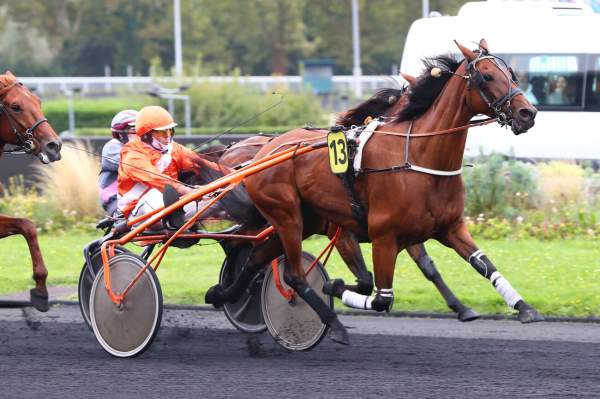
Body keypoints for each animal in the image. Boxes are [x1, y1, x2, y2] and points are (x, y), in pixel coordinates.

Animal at [240, 40, 544, 346]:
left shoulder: (450, 228)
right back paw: (332, 323)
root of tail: (266, 150)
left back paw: (230, 294)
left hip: (298, 222)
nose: (527, 113)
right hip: (287, 217)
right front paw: (334, 285)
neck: (419, 156)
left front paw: (523, 307)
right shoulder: (381, 237)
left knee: (254, 260)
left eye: (511, 74)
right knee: (295, 276)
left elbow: (482, 264)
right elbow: (380, 297)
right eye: (487, 76)